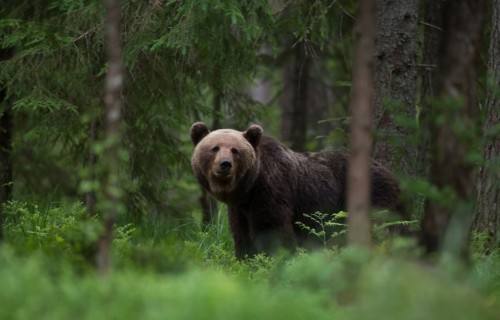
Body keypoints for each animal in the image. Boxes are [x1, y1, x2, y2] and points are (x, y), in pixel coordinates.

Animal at [189, 121, 404, 258]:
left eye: (235, 150)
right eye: (215, 148)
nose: (225, 164)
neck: (248, 188)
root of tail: (392, 175)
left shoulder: (271, 190)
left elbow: (272, 229)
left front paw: (273, 259)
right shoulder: (240, 209)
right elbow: (241, 233)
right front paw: (245, 259)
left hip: (372, 194)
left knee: (380, 228)